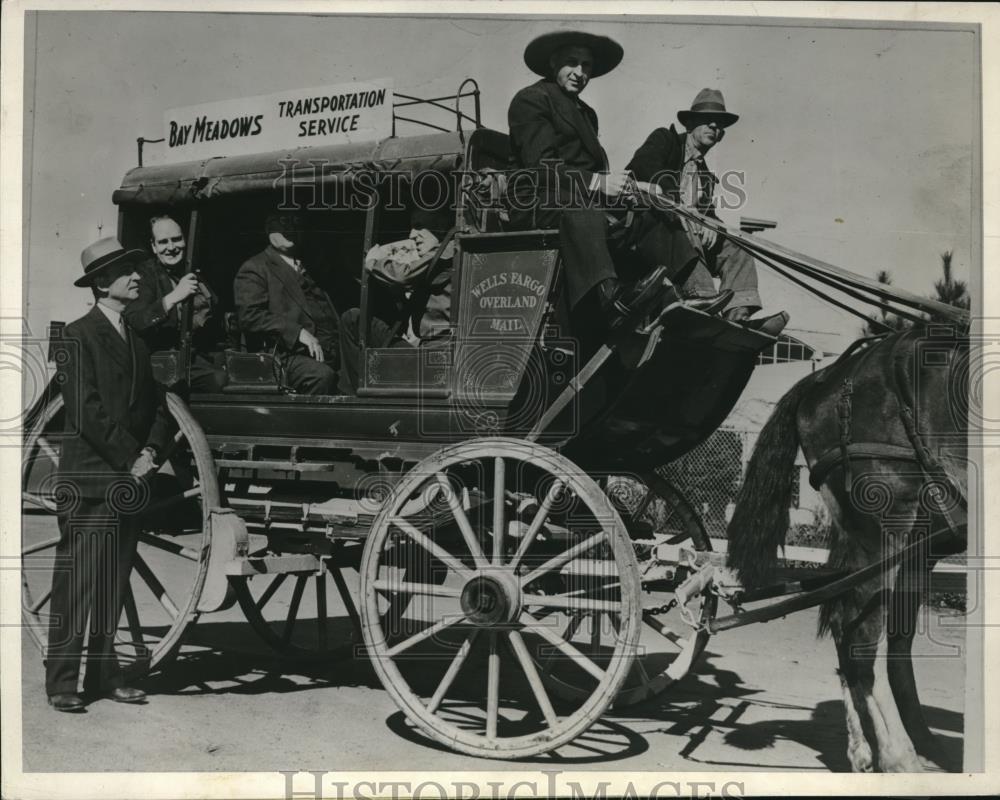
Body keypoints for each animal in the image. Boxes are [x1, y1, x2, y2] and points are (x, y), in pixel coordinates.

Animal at [728, 322, 968, 772]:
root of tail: (827, 375)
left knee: (873, 635)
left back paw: (895, 748)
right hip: (882, 527)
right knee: (862, 635)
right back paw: (898, 755)